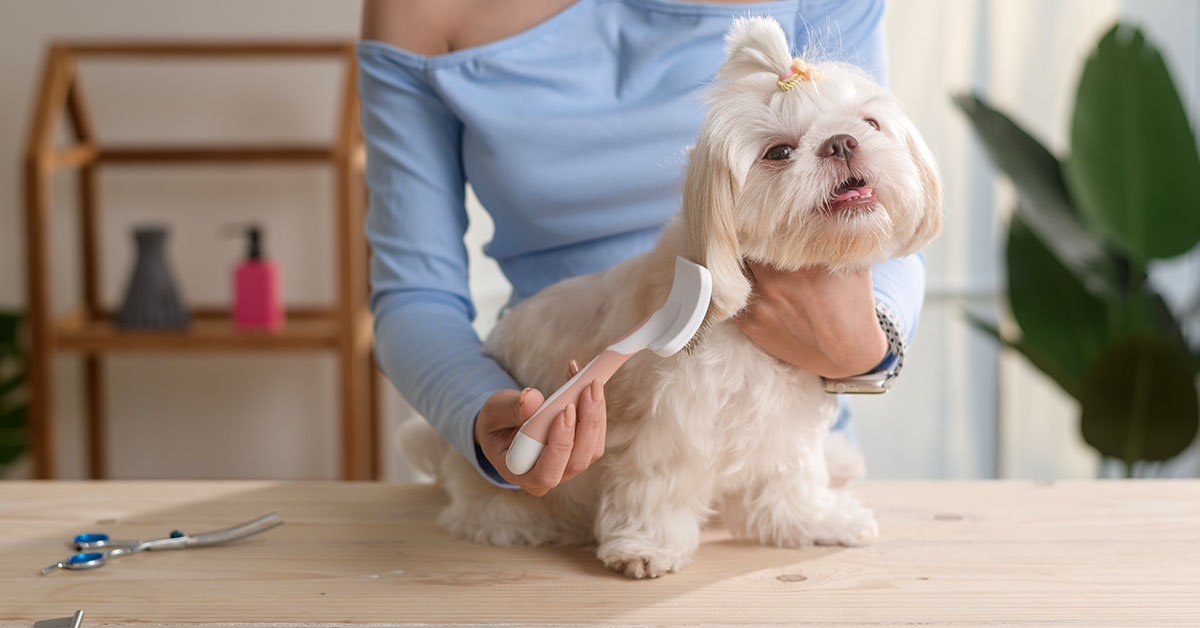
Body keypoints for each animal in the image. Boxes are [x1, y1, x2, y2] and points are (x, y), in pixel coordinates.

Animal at [398, 15, 940, 581]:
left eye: (869, 123)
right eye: (778, 153)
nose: (840, 143)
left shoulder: (783, 424)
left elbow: (786, 482)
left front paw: (814, 521)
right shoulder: (673, 419)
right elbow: (658, 482)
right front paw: (645, 547)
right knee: (489, 513)